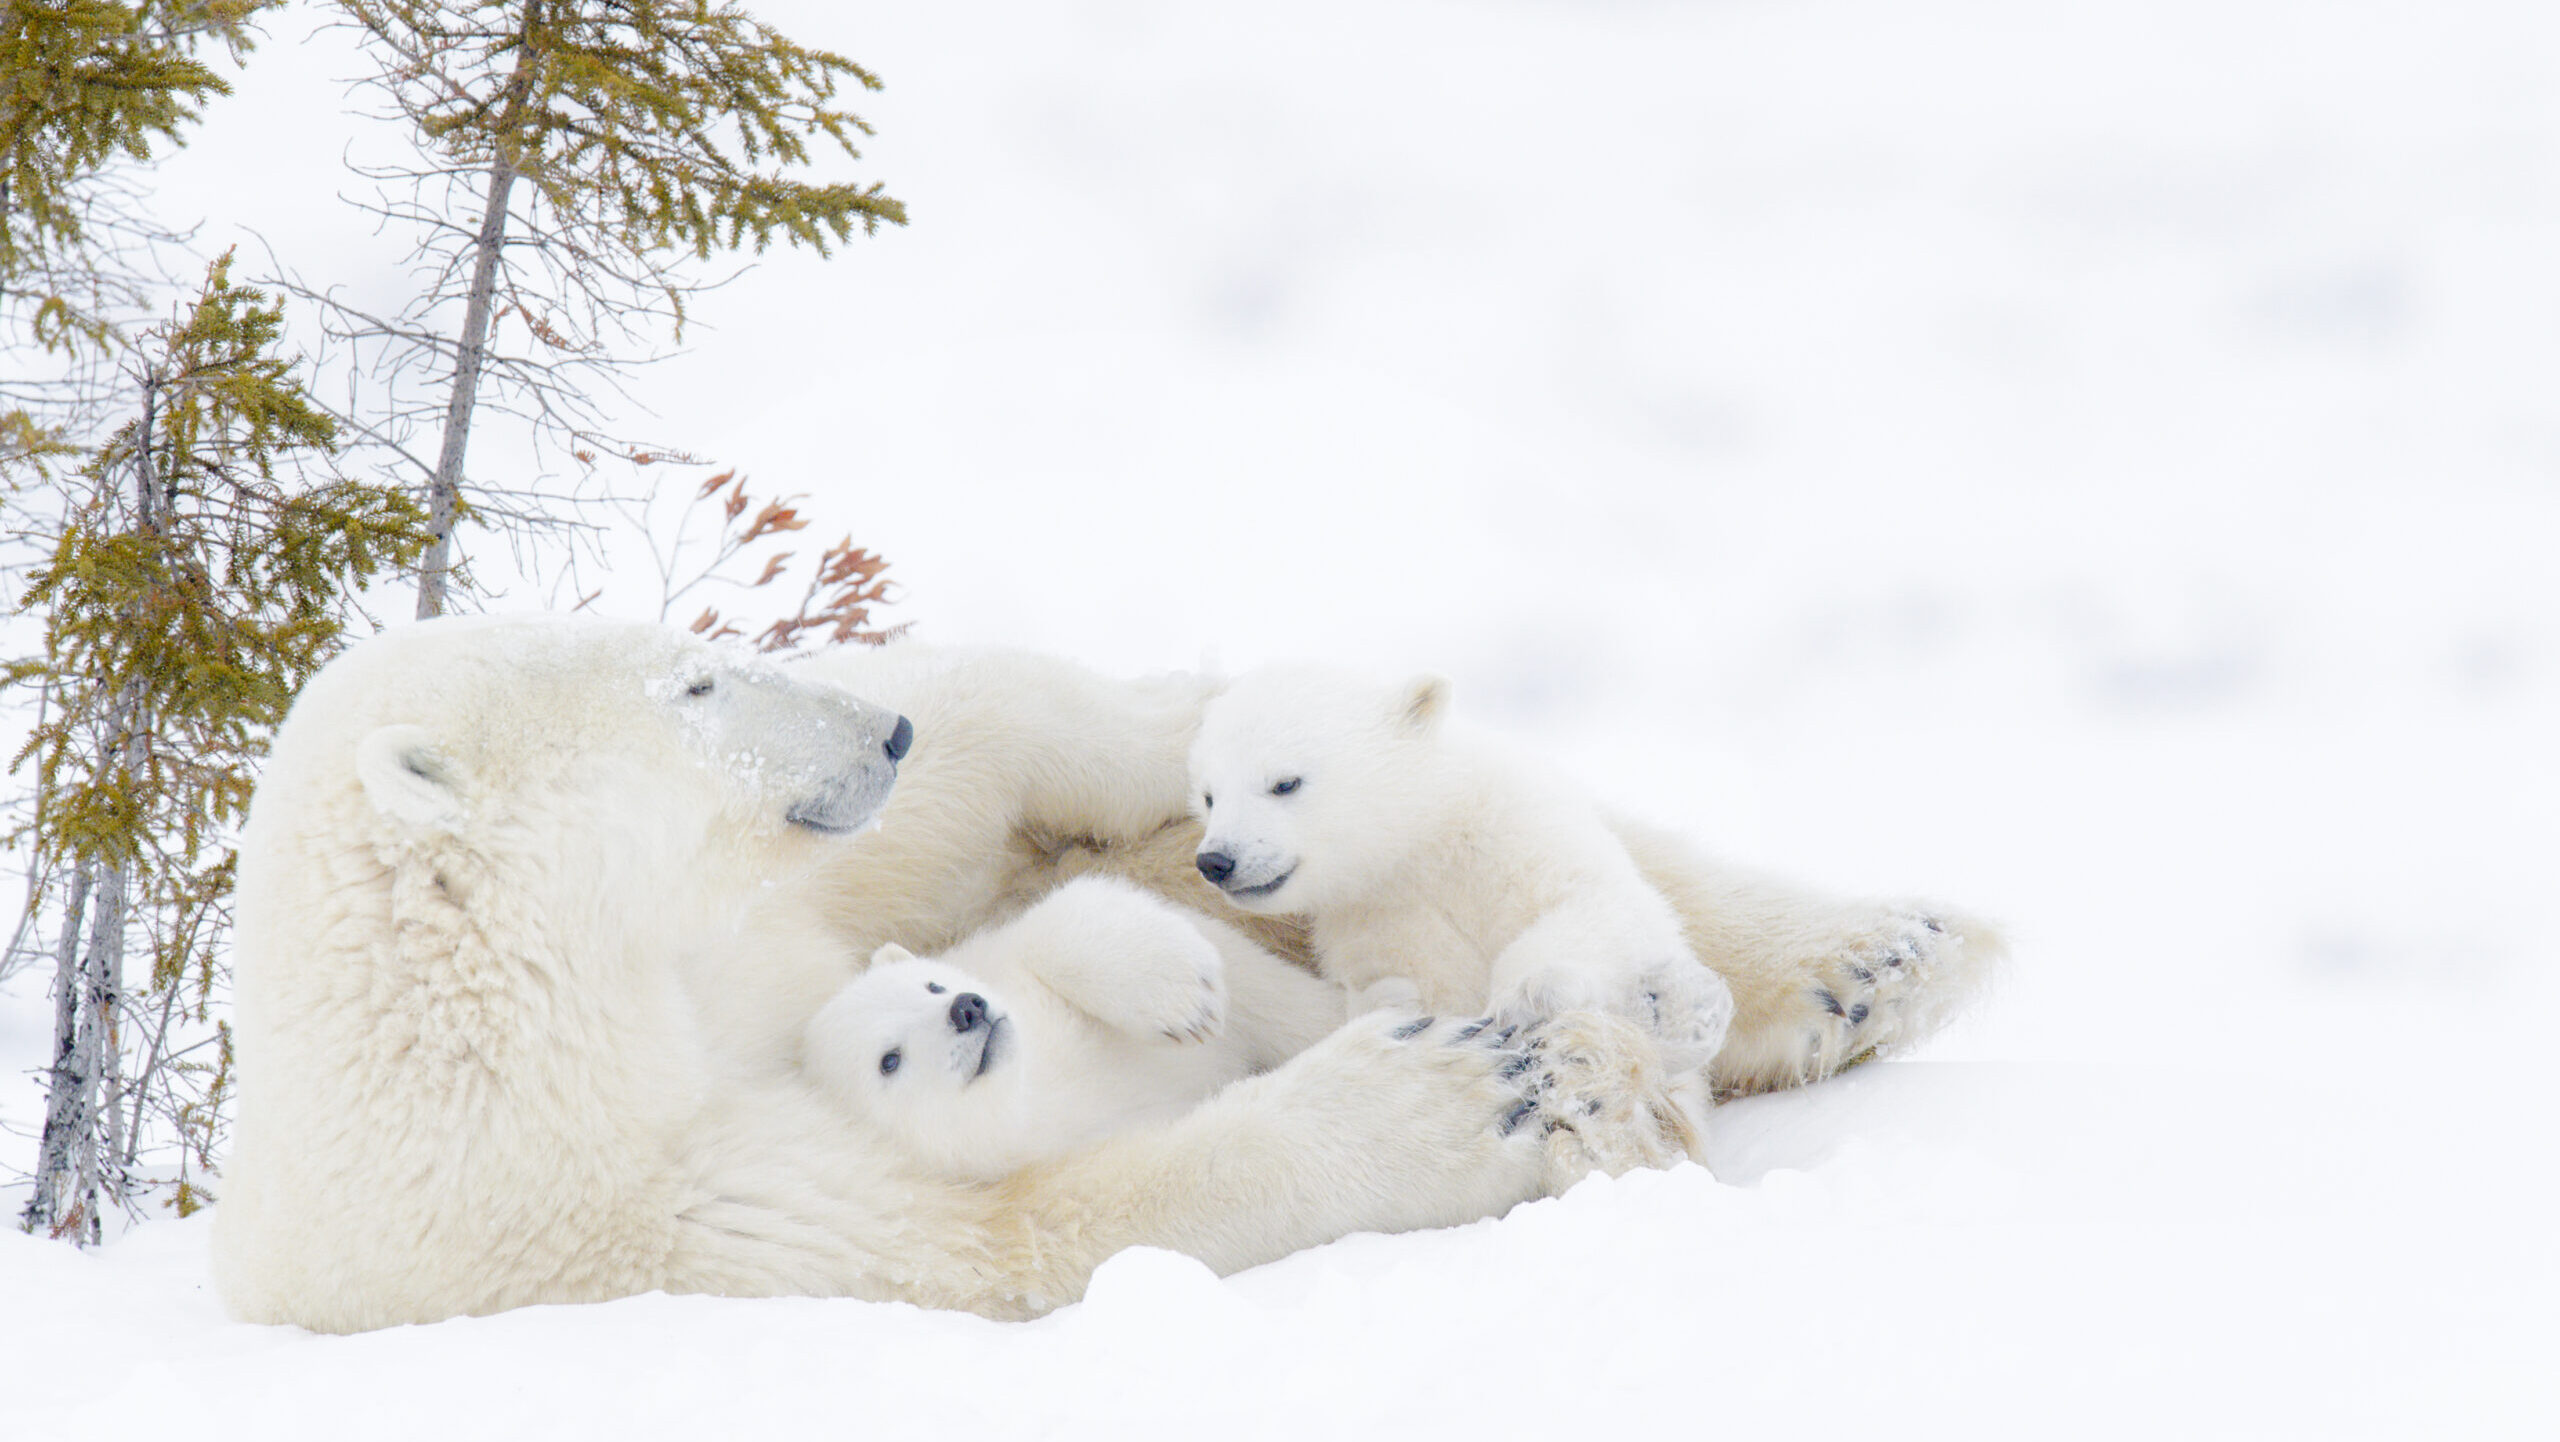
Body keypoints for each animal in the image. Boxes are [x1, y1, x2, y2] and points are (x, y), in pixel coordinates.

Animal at [204, 614, 1996, 1342]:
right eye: (693, 681)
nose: (870, 729)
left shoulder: (766, 923)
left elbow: (982, 776)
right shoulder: (610, 1204)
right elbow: (1002, 1227)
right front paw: (1450, 1091)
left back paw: (1876, 958)